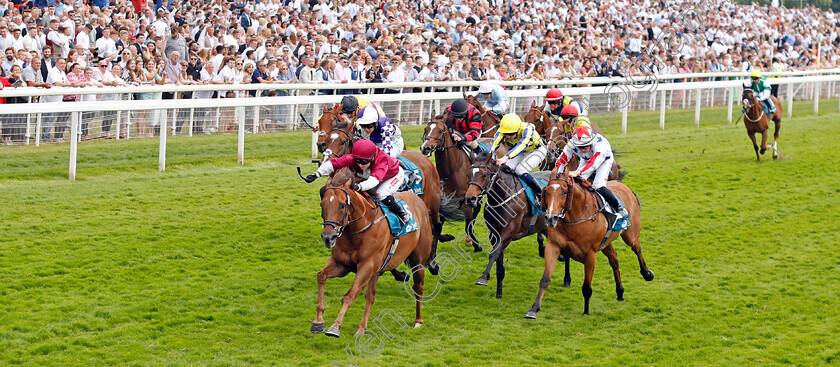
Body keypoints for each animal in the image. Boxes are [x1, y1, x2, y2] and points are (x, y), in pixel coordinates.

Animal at [314, 168, 434, 338]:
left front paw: (335, 327)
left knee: (418, 288)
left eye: (343, 205)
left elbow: (349, 296)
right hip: (377, 271)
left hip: (418, 261)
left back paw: (418, 321)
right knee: (370, 296)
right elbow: (321, 276)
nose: (328, 237)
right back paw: (362, 328)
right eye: (322, 204)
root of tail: (418, 200)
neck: (358, 229)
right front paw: (318, 321)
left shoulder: (367, 265)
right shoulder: (342, 265)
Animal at [316, 113, 446, 274]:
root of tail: (426, 160)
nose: (323, 162)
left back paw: (432, 262)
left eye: (342, 142)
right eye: (327, 140)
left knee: (437, 224)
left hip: (432, 203)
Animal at [460, 152, 552, 300]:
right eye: (469, 174)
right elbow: (498, 261)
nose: (470, 199)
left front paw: (483, 278)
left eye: (484, 175)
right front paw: (499, 293)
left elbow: (493, 254)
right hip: (546, 228)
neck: (503, 196)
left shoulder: (509, 233)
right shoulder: (494, 234)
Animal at [524, 171, 656, 318]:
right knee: (614, 260)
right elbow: (545, 279)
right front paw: (533, 309)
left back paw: (647, 273)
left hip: (630, 235)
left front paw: (586, 311)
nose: (550, 218)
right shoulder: (553, 247)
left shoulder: (590, 255)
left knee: (637, 248)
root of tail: (623, 186)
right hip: (605, 243)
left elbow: (587, 287)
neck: (575, 217)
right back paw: (620, 292)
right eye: (546, 191)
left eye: (565, 191)